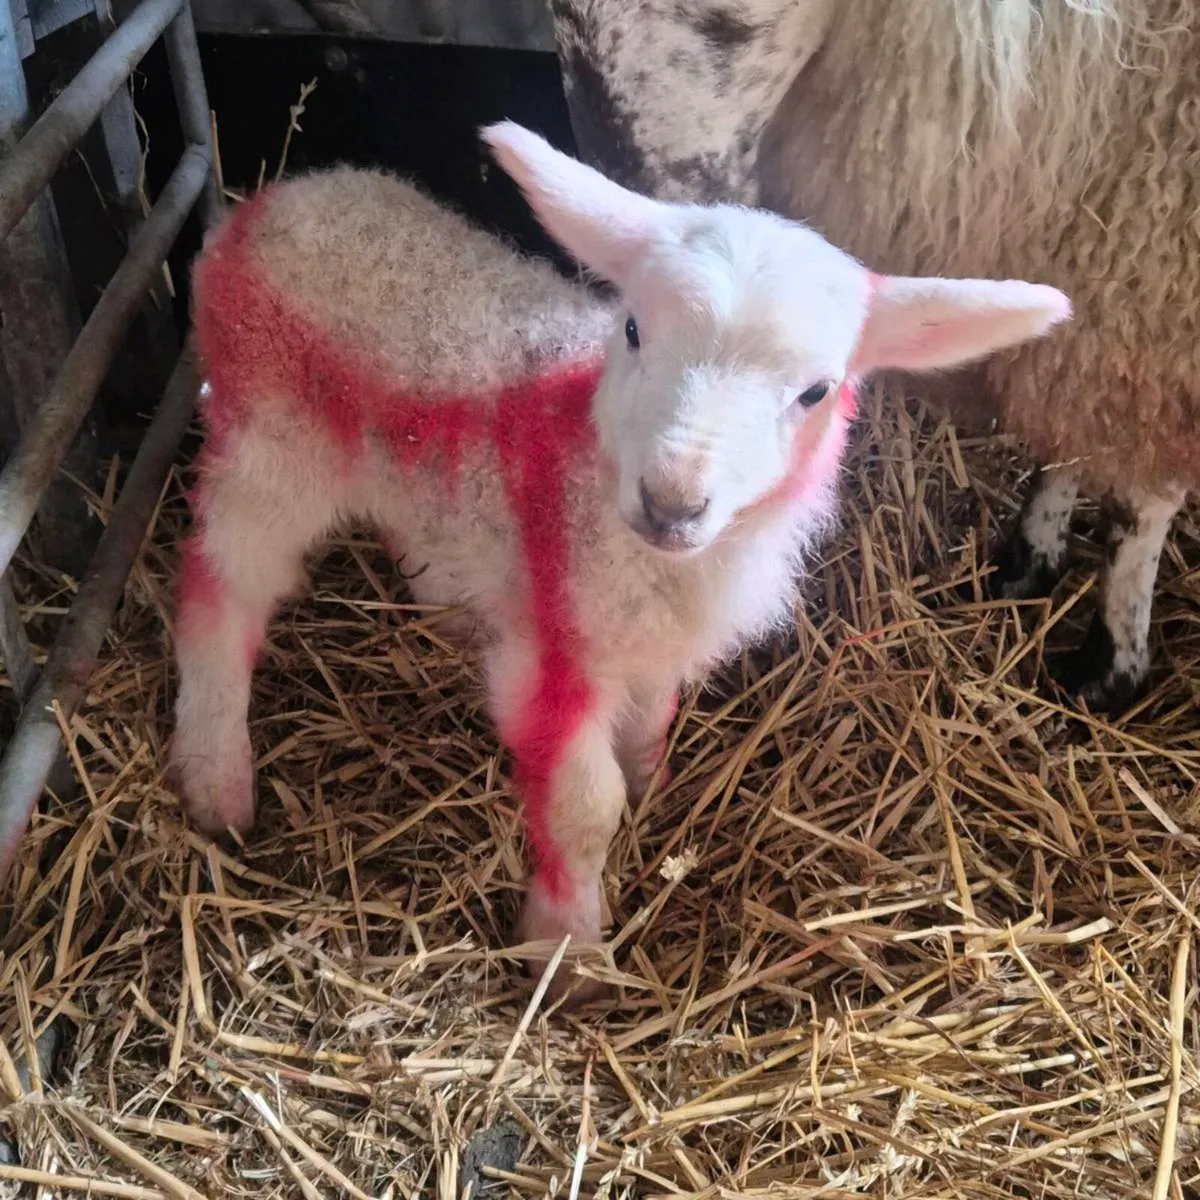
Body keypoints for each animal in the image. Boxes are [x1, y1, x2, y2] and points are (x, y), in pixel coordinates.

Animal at [170, 121, 1069, 998]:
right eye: (633, 329)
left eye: (816, 391)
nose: (672, 502)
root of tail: (277, 199)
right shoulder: (562, 646)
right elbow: (583, 808)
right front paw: (568, 955)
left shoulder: (654, 641)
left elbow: (653, 724)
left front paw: (649, 787)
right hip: (272, 443)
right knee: (219, 588)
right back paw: (215, 781)